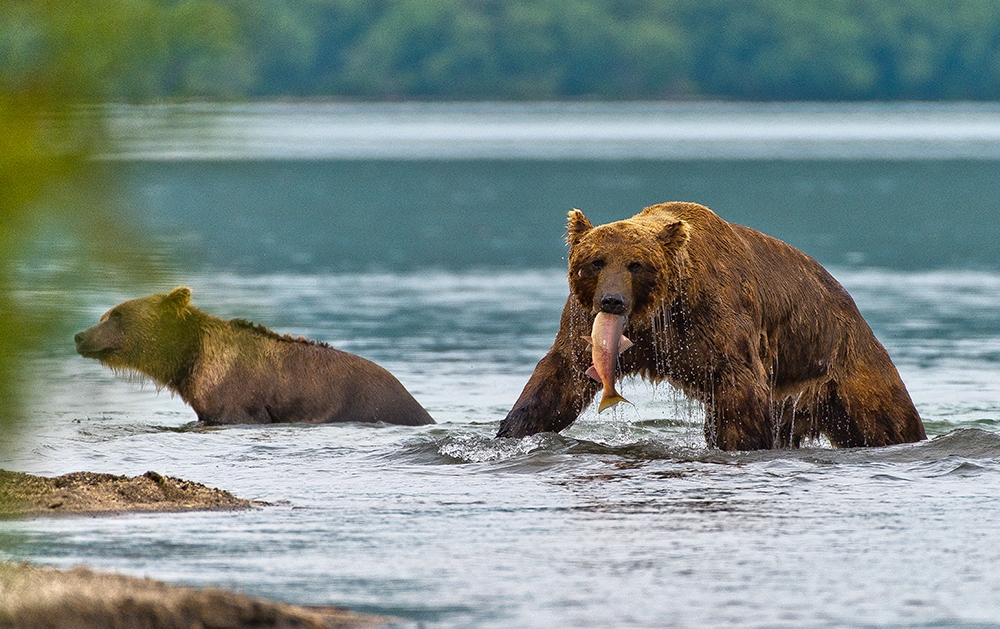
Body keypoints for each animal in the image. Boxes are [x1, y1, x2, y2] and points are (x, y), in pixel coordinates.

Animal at [74, 287, 435, 426]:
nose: (80, 335)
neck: (192, 360)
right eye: (105, 315)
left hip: (370, 404)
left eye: (117, 315)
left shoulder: (237, 399)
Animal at [496, 202, 926, 450]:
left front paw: (742, 444)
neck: (659, 311)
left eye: (637, 264)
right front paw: (510, 431)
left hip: (844, 368)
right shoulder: (590, 325)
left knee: (887, 420)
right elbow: (559, 379)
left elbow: (739, 391)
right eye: (596, 261)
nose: (612, 301)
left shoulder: (714, 322)